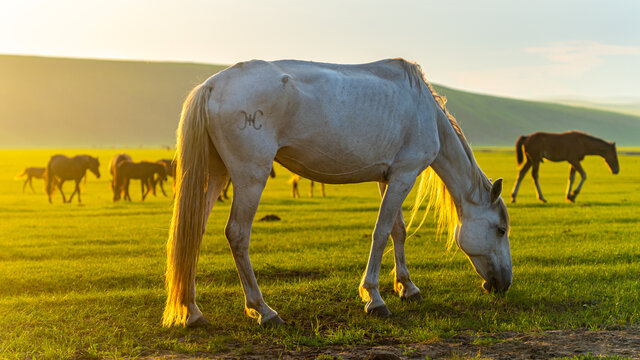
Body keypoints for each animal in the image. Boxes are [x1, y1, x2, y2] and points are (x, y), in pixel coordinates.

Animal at [162, 57, 512, 328]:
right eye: (500, 229)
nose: (504, 284)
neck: (424, 108)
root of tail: (212, 86)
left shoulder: (390, 177)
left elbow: (397, 231)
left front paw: (407, 287)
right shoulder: (404, 175)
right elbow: (381, 232)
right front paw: (374, 297)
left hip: (215, 174)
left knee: (192, 231)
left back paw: (192, 312)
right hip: (250, 178)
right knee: (237, 234)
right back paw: (263, 310)